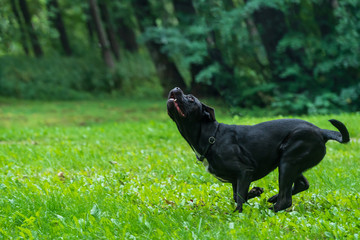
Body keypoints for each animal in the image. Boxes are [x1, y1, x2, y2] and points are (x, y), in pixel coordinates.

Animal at [167, 87, 350, 212]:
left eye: (191, 99)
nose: (176, 88)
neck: (212, 136)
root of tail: (321, 131)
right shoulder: (236, 179)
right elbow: (238, 195)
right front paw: (255, 191)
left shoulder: (244, 171)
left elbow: (240, 198)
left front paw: (236, 214)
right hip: (293, 163)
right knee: (301, 185)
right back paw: (272, 199)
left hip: (288, 162)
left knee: (286, 200)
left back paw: (269, 210)